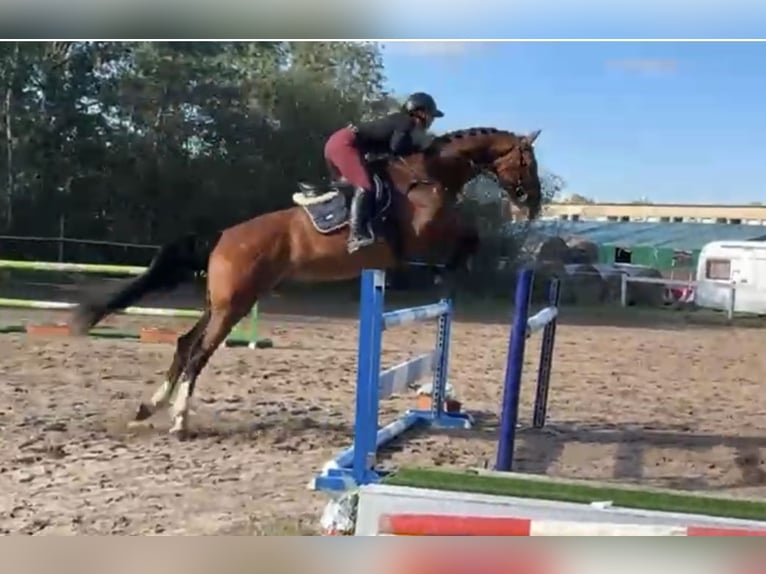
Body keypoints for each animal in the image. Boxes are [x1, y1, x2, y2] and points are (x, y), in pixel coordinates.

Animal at [67, 126, 544, 436]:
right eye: (527, 162)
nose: (534, 203)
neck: (427, 175)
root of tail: (221, 236)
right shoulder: (425, 232)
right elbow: (469, 234)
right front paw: (452, 268)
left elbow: (469, 235)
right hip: (234, 304)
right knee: (199, 352)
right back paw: (180, 420)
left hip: (222, 302)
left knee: (186, 344)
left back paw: (150, 407)